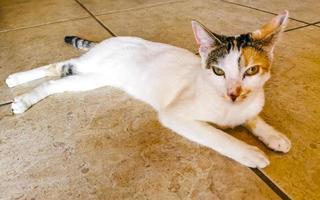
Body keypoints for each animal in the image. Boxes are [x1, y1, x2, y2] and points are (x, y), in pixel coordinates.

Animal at [5, 10, 292, 167]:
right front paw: (249, 152)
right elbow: (218, 135)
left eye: (251, 71)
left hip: (95, 77)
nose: (233, 93)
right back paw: (18, 88)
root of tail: (110, 40)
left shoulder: (249, 102)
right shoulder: (175, 115)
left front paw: (273, 135)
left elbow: (253, 117)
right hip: (92, 67)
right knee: (56, 72)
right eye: (218, 71)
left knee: (59, 73)